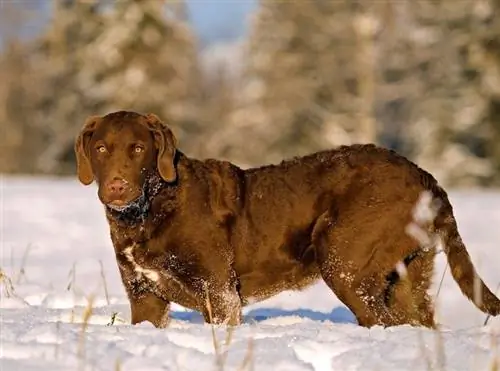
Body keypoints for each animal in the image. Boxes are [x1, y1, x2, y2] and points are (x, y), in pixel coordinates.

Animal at [74, 110, 500, 328]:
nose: (116, 186)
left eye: (138, 149)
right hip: (408, 275)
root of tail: (425, 176)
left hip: (345, 262)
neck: (147, 212)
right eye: (101, 148)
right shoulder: (143, 296)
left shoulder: (220, 295)